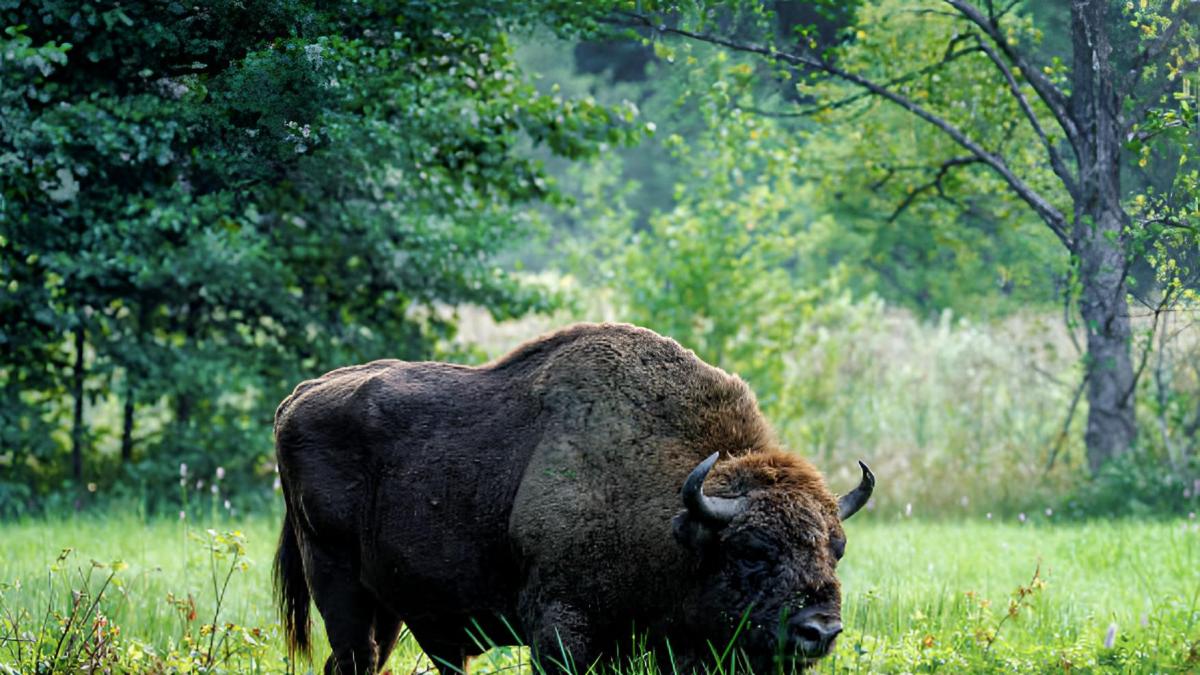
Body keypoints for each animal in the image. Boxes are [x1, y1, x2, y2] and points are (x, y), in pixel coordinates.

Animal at [273, 322, 873, 674]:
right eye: (751, 551)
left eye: (837, 549)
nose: (820, 630)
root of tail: (296, 398)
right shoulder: (563, 627)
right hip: (338, 584)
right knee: (354, 657)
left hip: (393, 606)